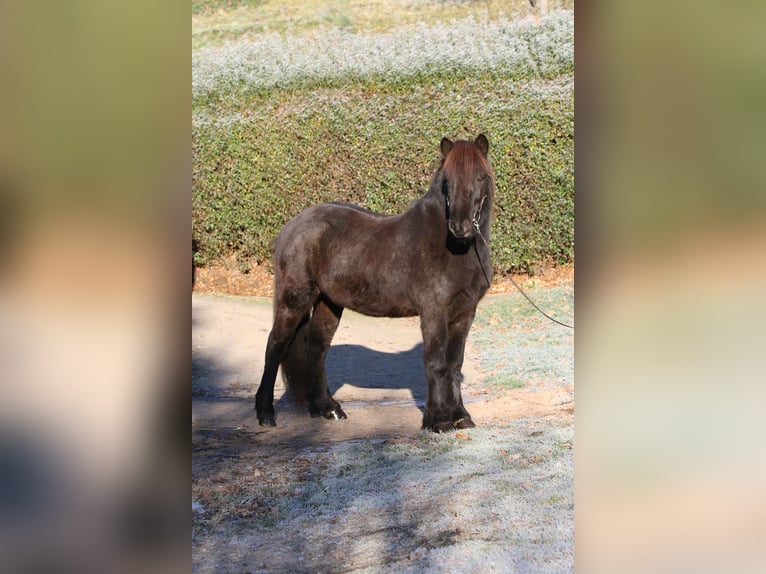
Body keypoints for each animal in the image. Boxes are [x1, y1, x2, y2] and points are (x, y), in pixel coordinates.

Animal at [255, 134, 494, 432]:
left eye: (481, 177)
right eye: (447, 180)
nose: (460, 227)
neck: (453, 248)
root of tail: (292, 226)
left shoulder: (465, 313)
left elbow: (454, 365)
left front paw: (461, 416)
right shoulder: (434, 311)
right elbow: (436, 363)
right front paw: (438, 420)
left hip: (328, 301)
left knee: (317, 347)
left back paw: (328, 409)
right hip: (295, 299)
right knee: (275, 347)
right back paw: (265, 414)